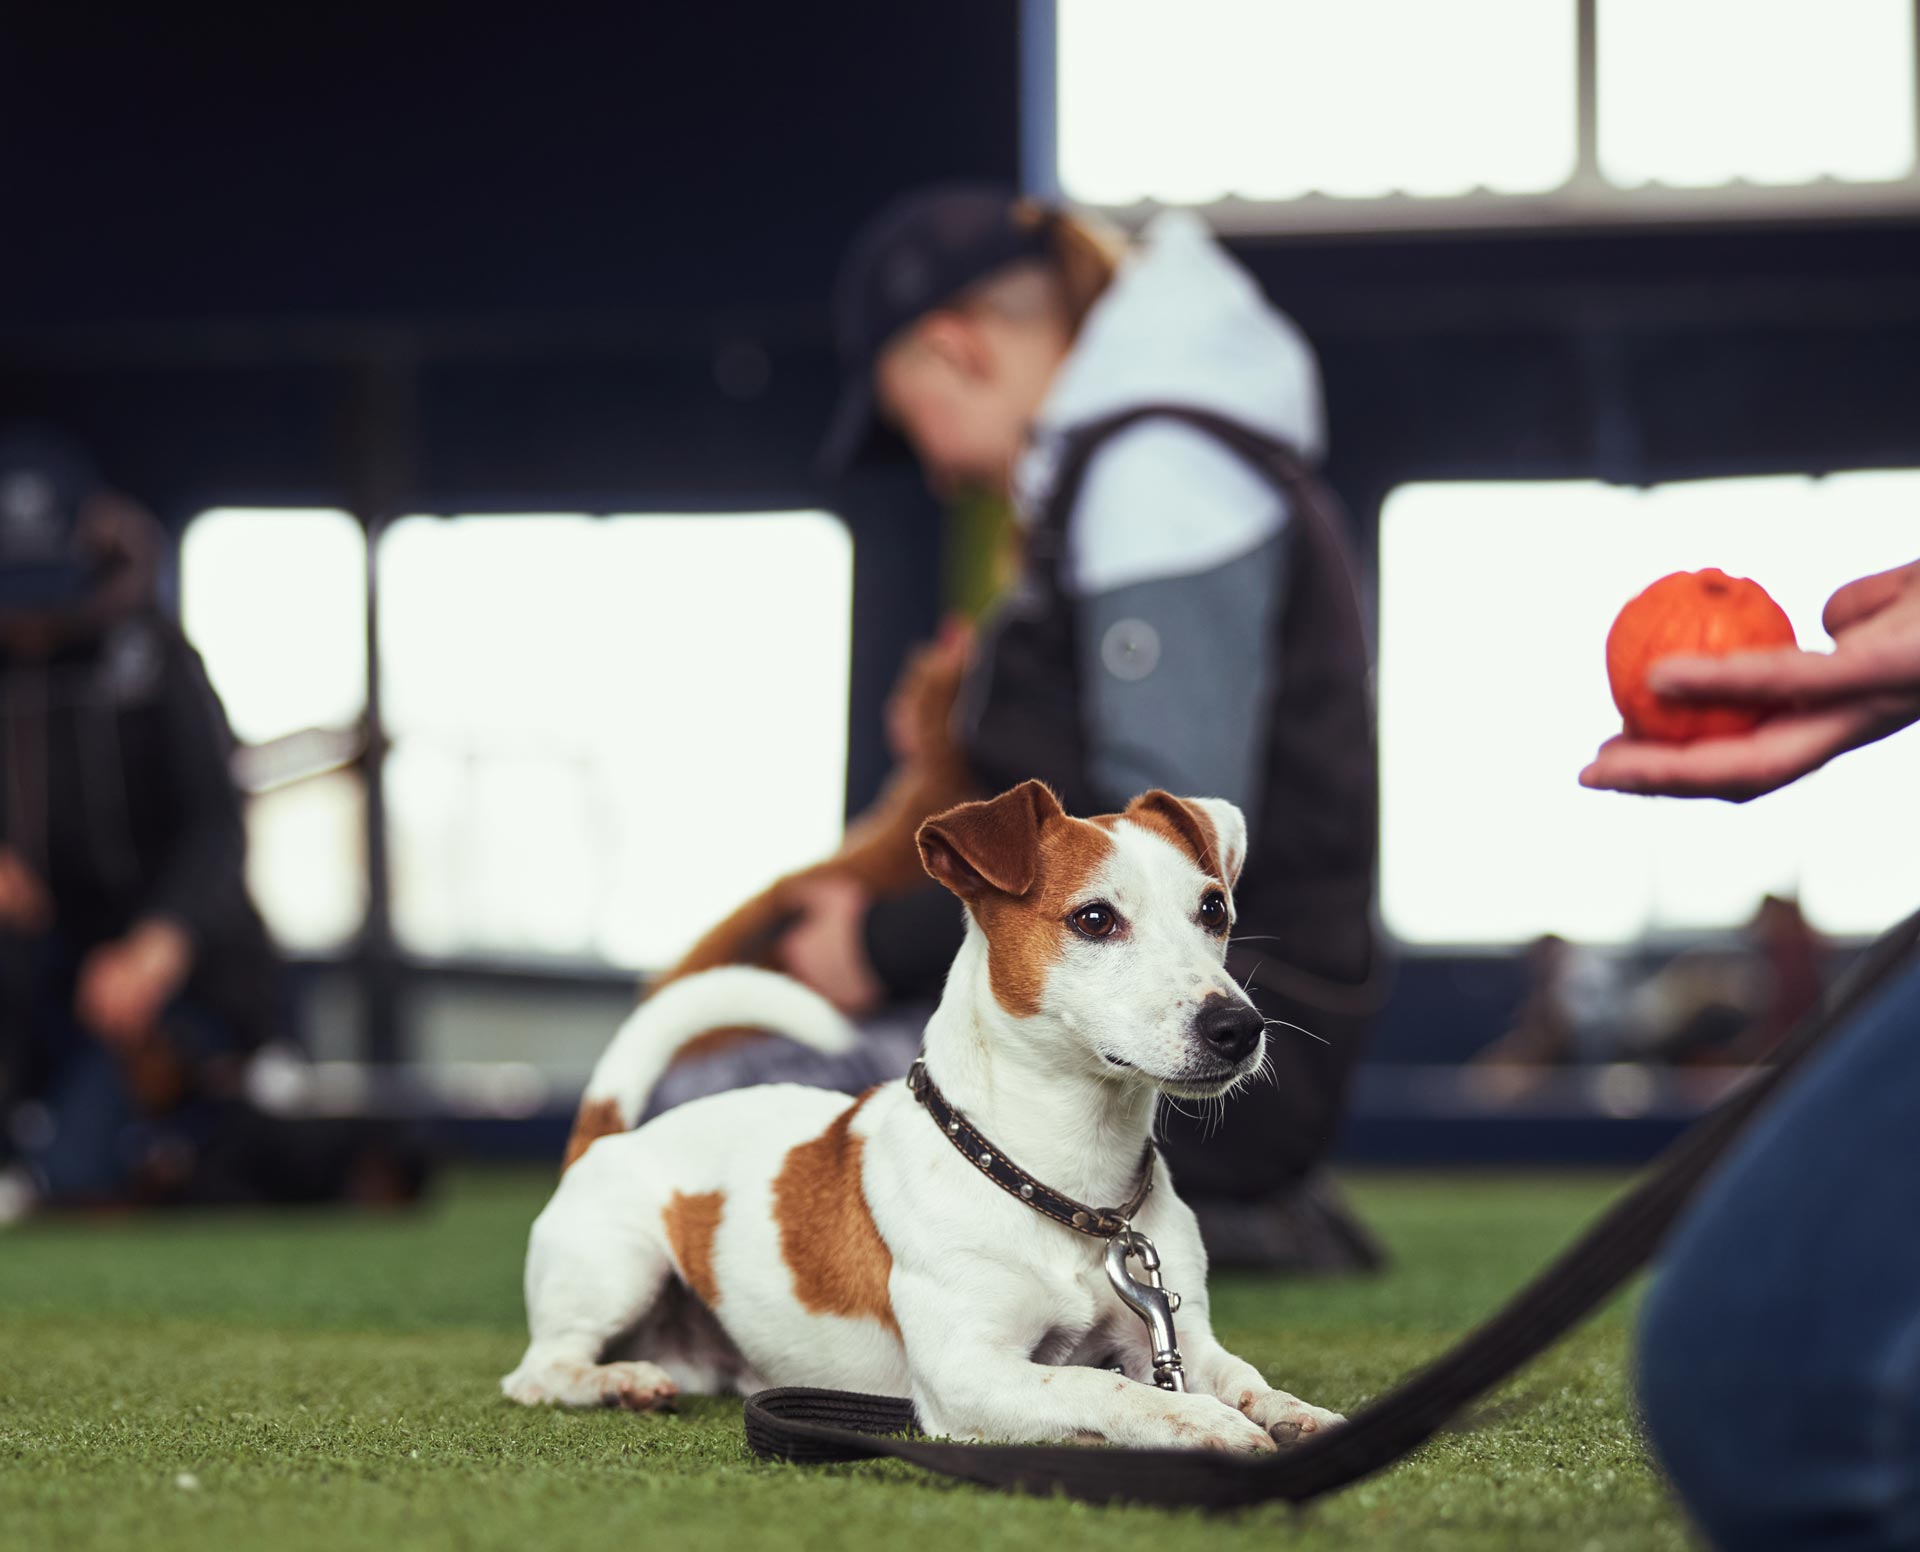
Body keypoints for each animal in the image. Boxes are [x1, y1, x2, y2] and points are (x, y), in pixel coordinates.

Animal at [503, 787, 1344, 1452]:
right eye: (1095, 919)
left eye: (1214, 909)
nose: (1239, 1027)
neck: (1071, 1191)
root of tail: (610, 1133)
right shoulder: (967, 1372)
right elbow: (1100, 1388)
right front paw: (1198, 1423)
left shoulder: (1175, 1334)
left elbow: (1238, 1375)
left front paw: (1292, 1412)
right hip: (619, 1266)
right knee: (536, 1372)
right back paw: (611, 1382)